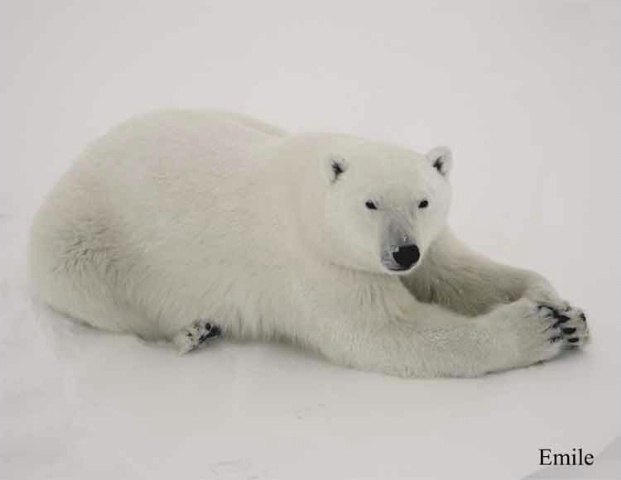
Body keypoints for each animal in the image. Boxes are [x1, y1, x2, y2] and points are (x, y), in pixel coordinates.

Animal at [27, 110, 588, 376]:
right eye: (370, 204)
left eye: (423, 201)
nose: (401, 252)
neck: (311, 196)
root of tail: (68, 171)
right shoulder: (314, 266)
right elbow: (387, 332)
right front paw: (541, 328)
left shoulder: (425, 244)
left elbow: (455, 271)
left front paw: (561, 307)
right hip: (81, 244)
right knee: (107, 301)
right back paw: (192, 331)